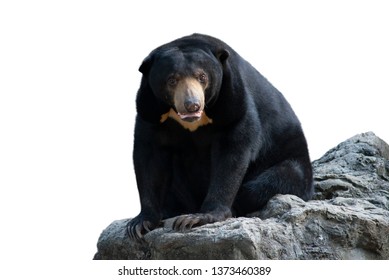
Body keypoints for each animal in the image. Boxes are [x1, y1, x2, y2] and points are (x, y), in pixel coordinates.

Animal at [126, 32, 312, 238]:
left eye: (202, 77)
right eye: (172, 80)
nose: (192, 105)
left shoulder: (233, 102)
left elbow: (231, 153)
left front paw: (197, 218)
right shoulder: (149, 110)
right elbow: (150, 157)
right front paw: (140, 223)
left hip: (289, 163)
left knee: (271, 182)